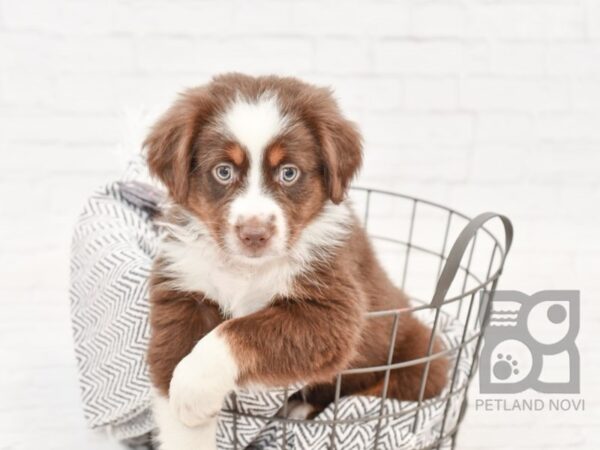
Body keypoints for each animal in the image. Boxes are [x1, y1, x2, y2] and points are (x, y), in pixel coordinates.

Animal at [144, 74, 446, 450]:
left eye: (288, 173)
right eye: (224, 171)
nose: (254, 234)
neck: (246, 269)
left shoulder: (332, 310)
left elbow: (236, 331)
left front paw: (193, 386)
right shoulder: (183, 293)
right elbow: (172, 380)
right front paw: (187, 409)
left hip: (422, 356)